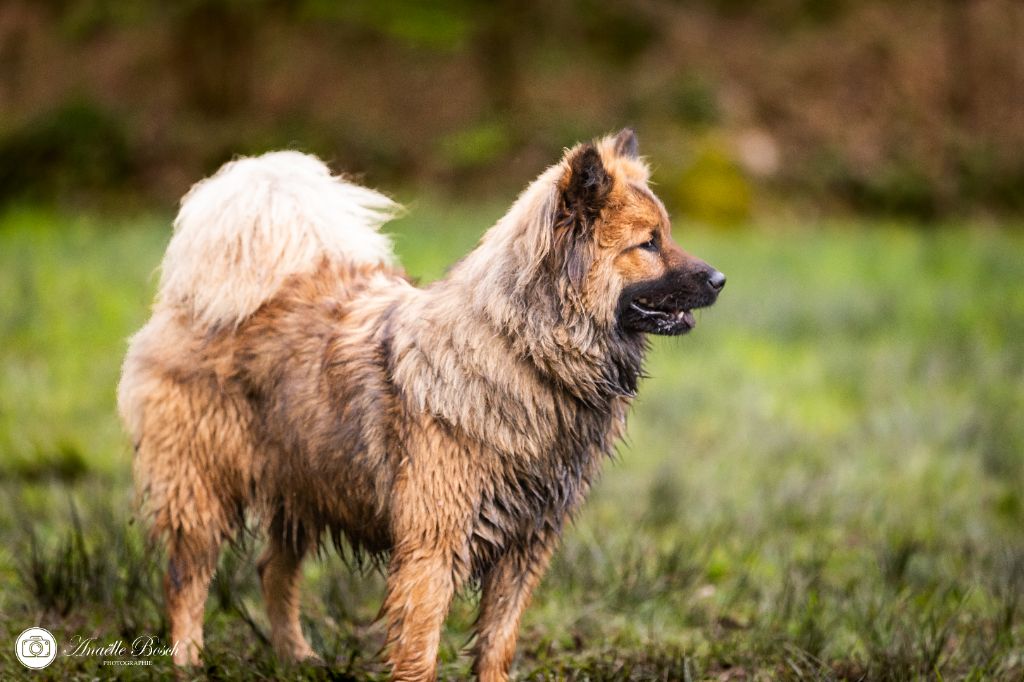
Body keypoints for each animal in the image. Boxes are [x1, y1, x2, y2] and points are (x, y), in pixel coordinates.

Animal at [117, 130, 729, 675]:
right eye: (648, 243)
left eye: (666, 235)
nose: (721, 278)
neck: (524, 352)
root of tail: (196, 301)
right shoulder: (433, 547)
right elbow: (419, 650)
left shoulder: (525, 546)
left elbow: (498, 644)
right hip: (202, 487)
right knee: (186, 578)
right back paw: (189, 664)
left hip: (307, 479)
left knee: (274, 570)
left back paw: (296, 658)